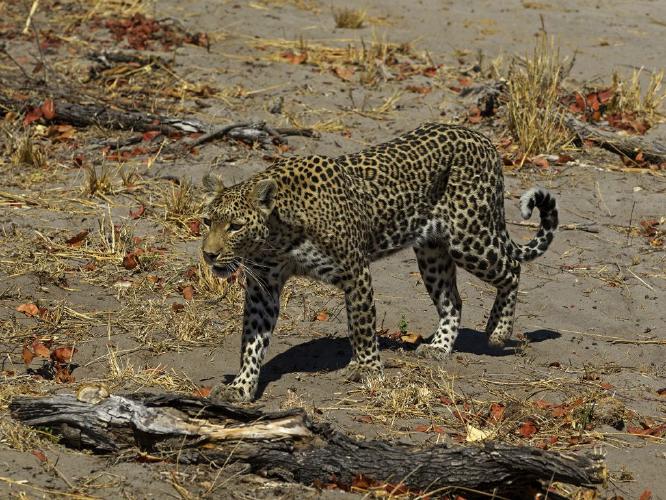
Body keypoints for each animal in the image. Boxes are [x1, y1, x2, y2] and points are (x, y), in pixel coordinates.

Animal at [201, 122, 558, 402]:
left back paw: (499, 331)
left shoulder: (355, 272)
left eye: (235, 226)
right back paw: (439, 347)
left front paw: (368, 369)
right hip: (432, 252)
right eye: (207, 221)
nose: (208, 254)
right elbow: (252, 339)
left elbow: (361, 325)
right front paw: (241, 386)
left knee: (512, 269)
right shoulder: (263, 287)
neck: (279, 236)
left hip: (469, 237)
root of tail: (483, 140)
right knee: (452, 300)